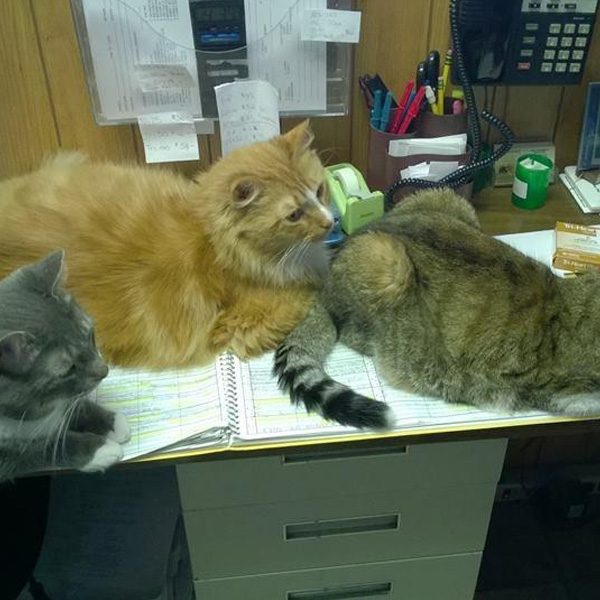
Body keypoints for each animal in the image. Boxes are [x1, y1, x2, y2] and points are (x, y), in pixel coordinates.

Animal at [0, 119, 332, 368]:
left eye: (320, 190)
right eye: (294, 215)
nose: (330, 223)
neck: (214, 241)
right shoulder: (244, 322)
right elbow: (307, 291)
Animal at [0, 251, 129, 480]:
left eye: (90, 336)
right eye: (69, 369)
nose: (105, 370)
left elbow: (73, 404)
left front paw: (111, 422)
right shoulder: (5, 455)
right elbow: (37, 447)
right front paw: (99, 450)